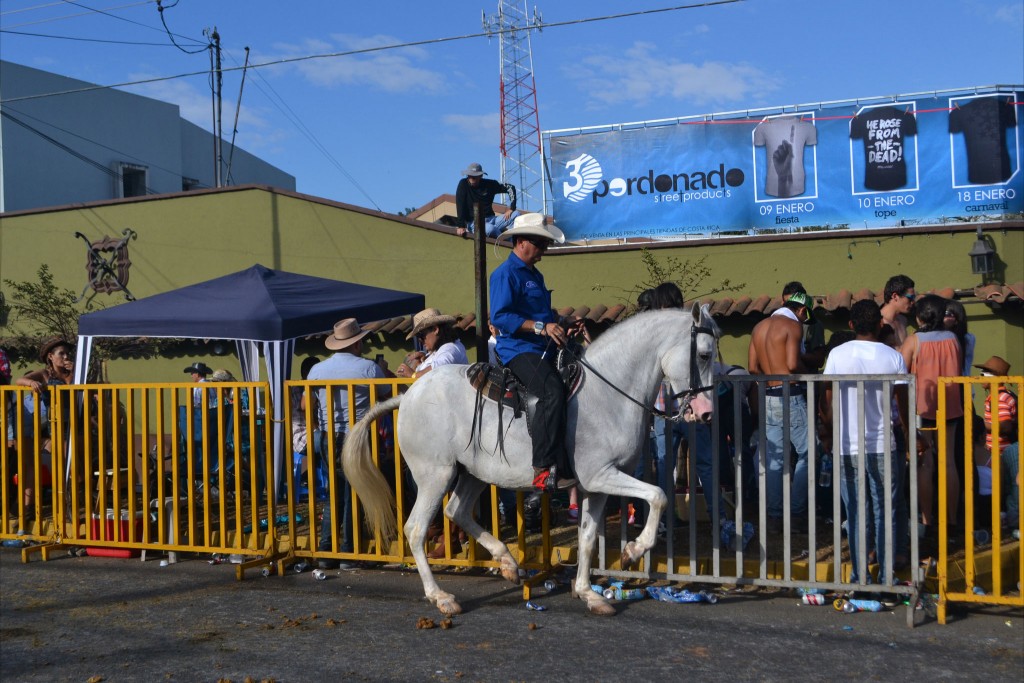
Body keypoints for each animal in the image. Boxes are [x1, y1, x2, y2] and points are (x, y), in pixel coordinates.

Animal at [339, 307, 716, 618]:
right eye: (704, 354)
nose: (706, 413)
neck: (608, 393)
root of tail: (407, 395)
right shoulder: (602, 475)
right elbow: (658, 496)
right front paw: (633, 551)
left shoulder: (595, 486)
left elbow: (587, 536)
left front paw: (589, 594)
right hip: (435, 475)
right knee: (416, 529)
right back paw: (441, 597)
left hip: (474, 473)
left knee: (456, 511)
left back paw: (507, 562)